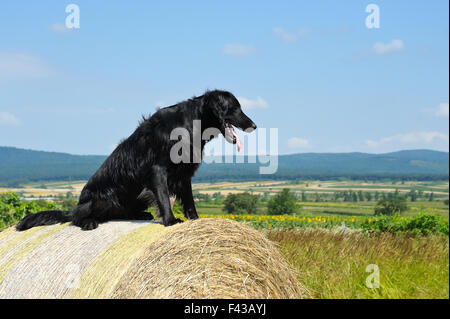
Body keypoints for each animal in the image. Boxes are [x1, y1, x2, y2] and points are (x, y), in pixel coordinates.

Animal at [16, 91, 256, 231]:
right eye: (236, 107)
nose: (254, 125)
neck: (191, 124)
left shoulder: (184, 173)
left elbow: (189, 201)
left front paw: (195, 220)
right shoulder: (158, 170)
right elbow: (164, 198)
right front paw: (170, 221)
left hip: (140, 195)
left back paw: (141, 214)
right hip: (104, 198)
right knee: (76, 217)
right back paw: (88, 221)